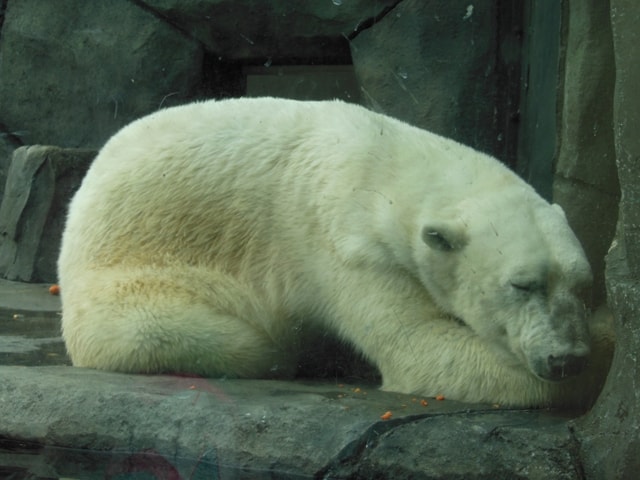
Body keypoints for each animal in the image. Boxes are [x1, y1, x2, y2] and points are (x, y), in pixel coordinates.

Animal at [60, 95, 616, 406]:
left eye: (583, 284)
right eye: (523, 284)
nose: (565, 358)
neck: (385, 168)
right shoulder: (350, 250)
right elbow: (419, 346)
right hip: (134, 279)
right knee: (214, 336)